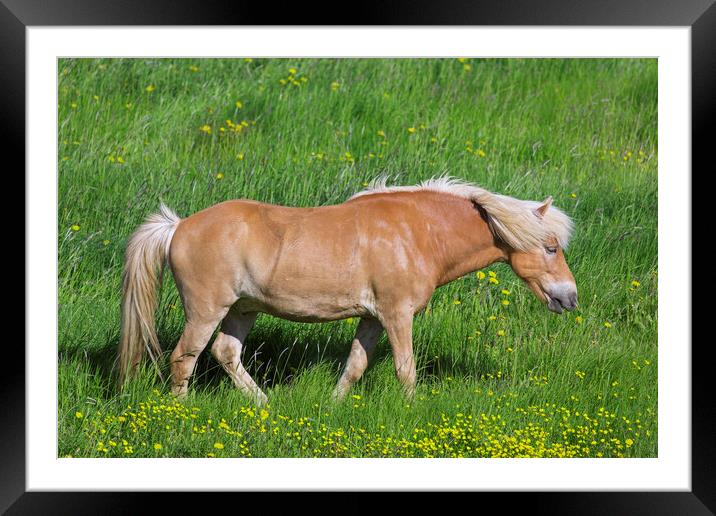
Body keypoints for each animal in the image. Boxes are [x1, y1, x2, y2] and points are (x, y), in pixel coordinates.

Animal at [117, 177, 576, 404]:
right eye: (551, 247)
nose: (569, 297)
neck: (417, 233)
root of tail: (178, 226)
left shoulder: (372, 318)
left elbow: (355, 366)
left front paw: (334, 406)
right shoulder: (396, 314)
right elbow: (406, 369)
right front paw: (411, 411)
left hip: (242, 309)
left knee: (225, 353)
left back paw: (264, 403)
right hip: (207, 310)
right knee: (184, 358)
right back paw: (182, 410)